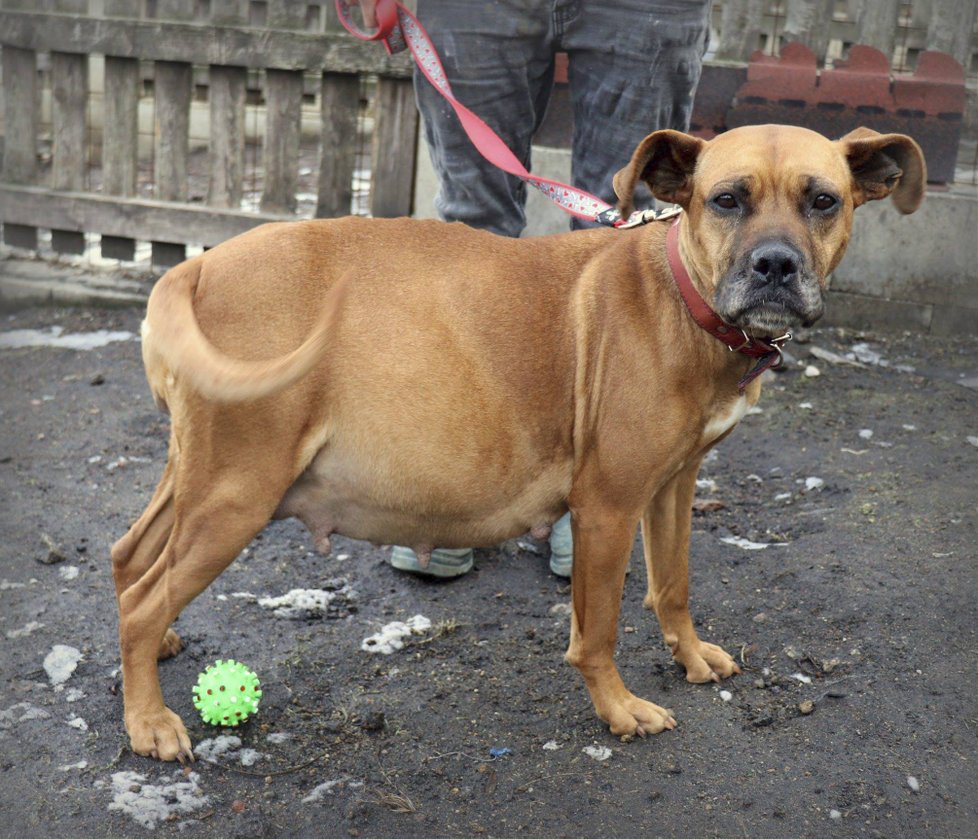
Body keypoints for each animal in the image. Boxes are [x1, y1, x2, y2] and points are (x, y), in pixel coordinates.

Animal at [112, 124, 924, 760]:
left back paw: (156, 654)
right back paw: (148, 719)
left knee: (128, 561)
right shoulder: (607, 507)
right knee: (141, 601)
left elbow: (673, 586)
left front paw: (690, 656)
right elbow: (597, 632)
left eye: (823, 200)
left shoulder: (673, 485)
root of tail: (196, 265)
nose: (776, 266)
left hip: (197, 479)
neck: (681, 296)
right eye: (727, 199)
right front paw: (618, 710)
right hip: (237, 492)